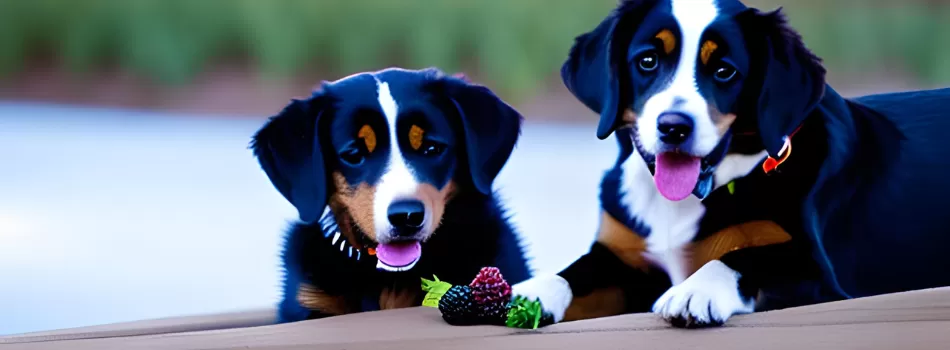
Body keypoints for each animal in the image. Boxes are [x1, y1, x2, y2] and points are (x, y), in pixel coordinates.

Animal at [516, 0, 950, 328]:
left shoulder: (820, 274)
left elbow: (746, 256)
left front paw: (696, 290)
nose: (673, 127)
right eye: (648, 61)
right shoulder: (624, 259)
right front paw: (531, 291)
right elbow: (578, 272)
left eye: (725, 71)